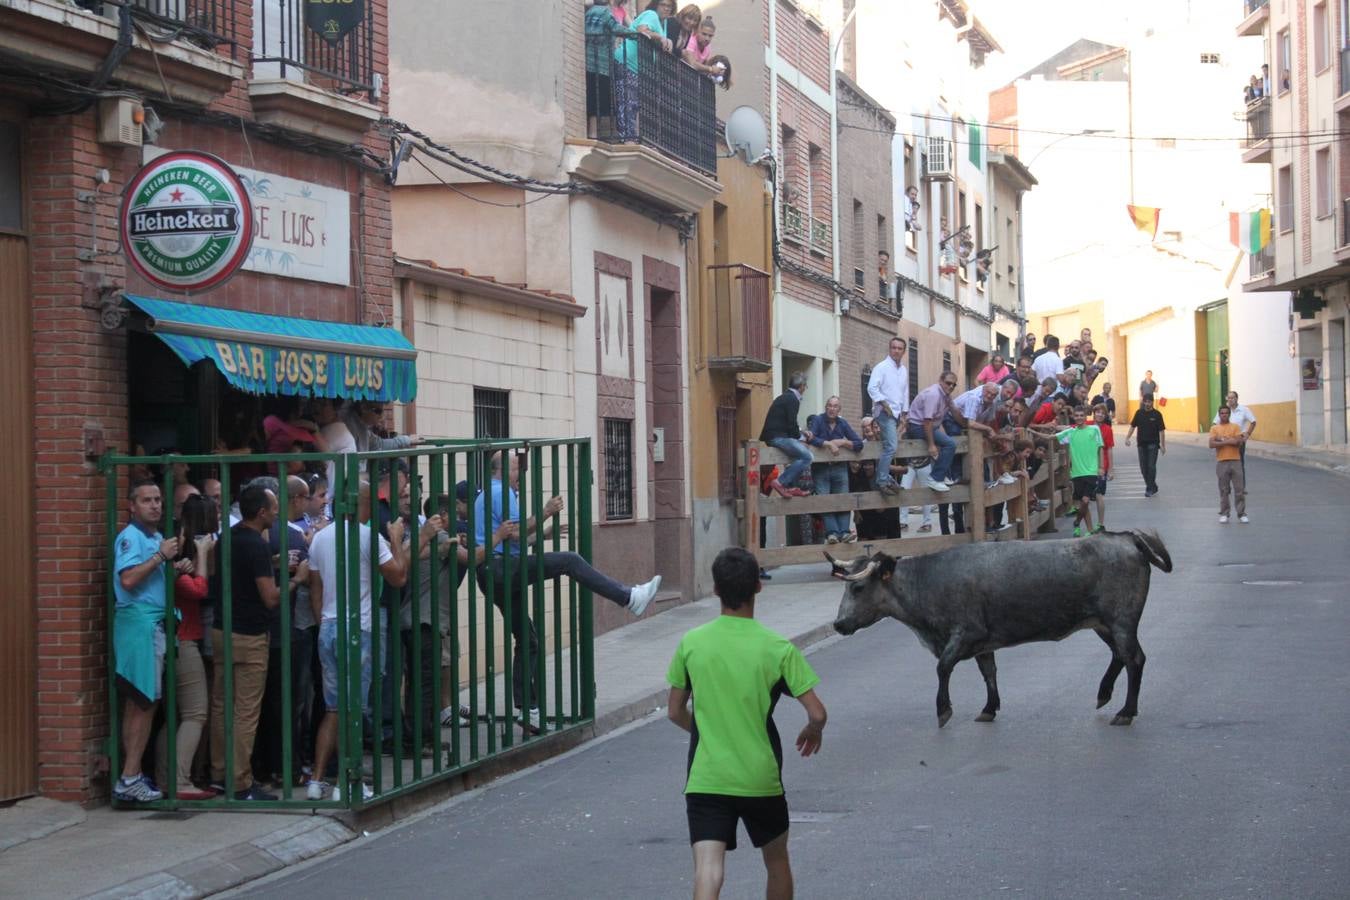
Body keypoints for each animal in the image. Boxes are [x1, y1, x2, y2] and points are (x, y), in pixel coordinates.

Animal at [826, 531, 1166, 728]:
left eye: (857, 588)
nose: (839, 624)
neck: (928, 581)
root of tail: (1125, 539)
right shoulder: (983, 642)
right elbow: (988, 672)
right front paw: (989, 707)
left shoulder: (966, 633)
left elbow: (943, 667)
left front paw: (943, 710)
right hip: (1104, 624)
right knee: (1121, 656)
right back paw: (1104, 694)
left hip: (1121, 621)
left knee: (1135, 659)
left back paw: (1126, 711)